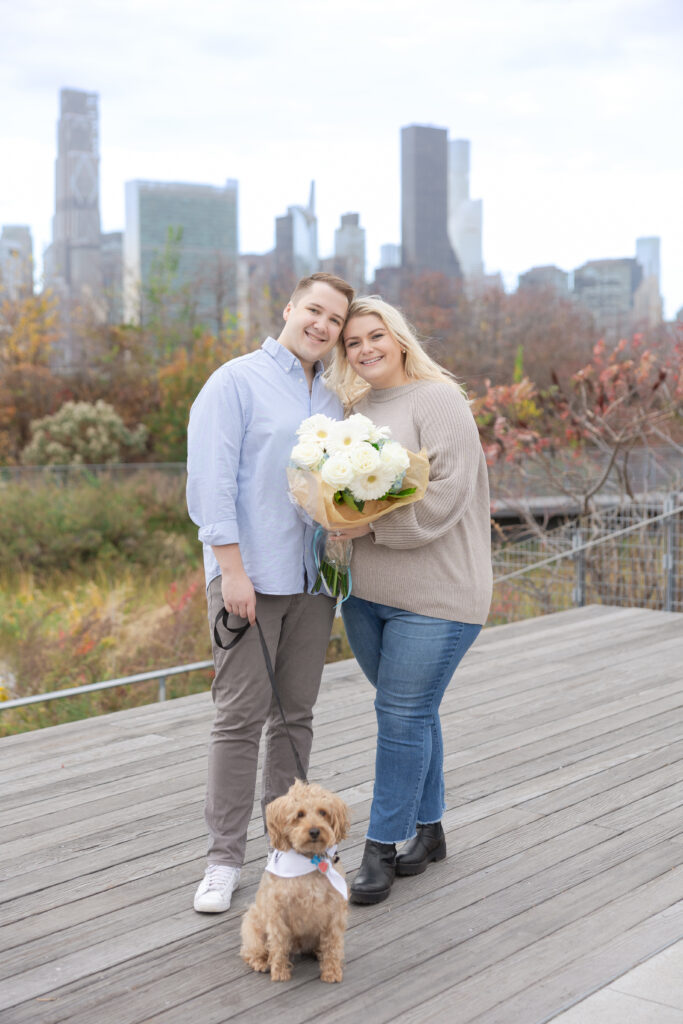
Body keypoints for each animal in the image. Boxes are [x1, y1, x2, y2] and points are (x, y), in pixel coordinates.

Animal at [240, 782, 350, 983]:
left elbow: (333, 945)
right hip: (252, 926)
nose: (314, 831)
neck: (310, 860)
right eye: (299, 814)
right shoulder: (278, 913)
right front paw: (280, 972)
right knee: (250, 951)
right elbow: (278, 945)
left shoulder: (335, 912)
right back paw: (261, 962)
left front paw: (331, 971)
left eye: (323, 812)